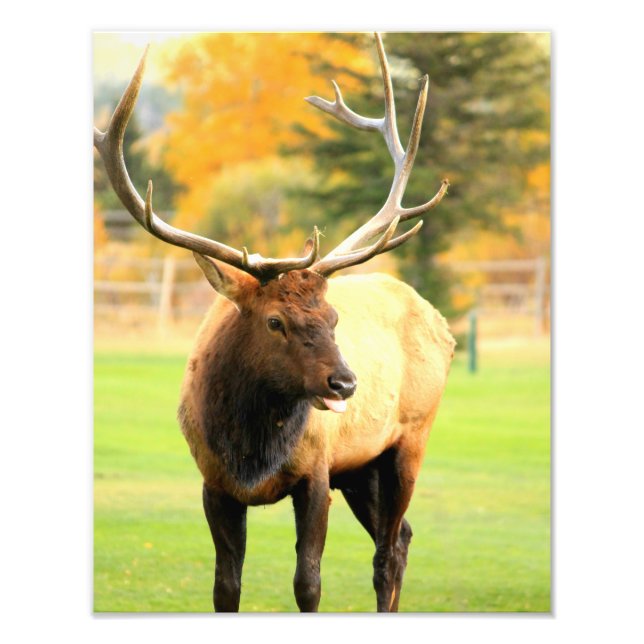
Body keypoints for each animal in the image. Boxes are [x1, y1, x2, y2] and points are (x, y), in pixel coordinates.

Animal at [94, 33, 454, 613]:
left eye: (333, 316)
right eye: (275, 322)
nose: (344, 382)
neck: (250, 451)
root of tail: (442, 324)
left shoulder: (316, 472)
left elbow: (308, 584)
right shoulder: (213, 482)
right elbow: (225, 587)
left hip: (409, 439)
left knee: (387, 551)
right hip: (360, 468)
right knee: (400, 535)